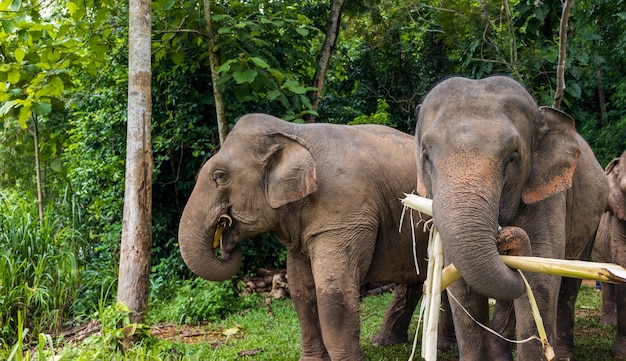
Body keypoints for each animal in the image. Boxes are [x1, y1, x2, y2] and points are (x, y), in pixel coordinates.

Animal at [178, 113, 432, 360]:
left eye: (219, 176)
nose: (224, 234)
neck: (292, 132)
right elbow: (301, 290)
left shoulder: (345, 213)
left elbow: (334, 293)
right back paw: (384, 343)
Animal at [412, 74, 608, 358]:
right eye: (426, 154)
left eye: (512, 157)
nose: (502, 235)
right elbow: (463, 287)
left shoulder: (547, 195)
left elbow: (538, 280)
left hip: (592, 221)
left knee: (570, 282)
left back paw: (563, 354)